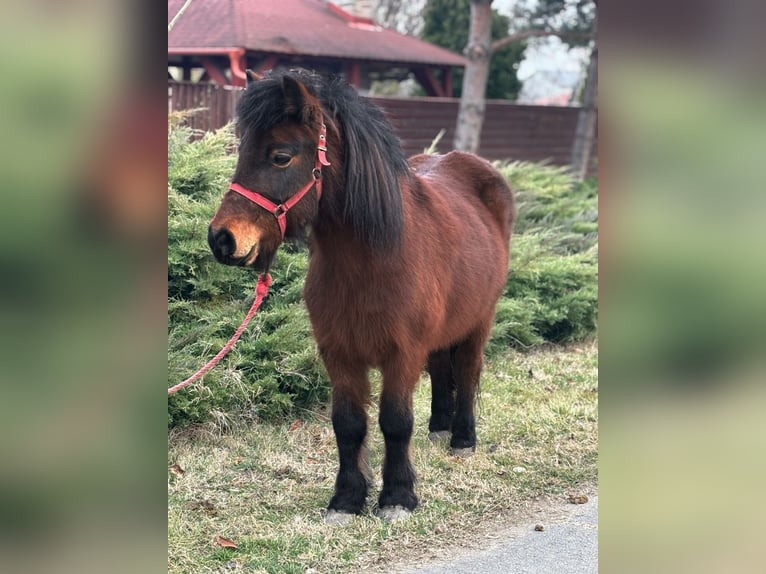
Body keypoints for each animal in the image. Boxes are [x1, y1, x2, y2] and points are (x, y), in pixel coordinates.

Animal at [208, 68, 516, 528]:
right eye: (243, 151)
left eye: (281, 156)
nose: (222, 239)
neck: (372, 261)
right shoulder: (339, 352)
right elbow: (348, 424)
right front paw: (347, 499)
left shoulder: (402, 354)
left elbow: (396, 422)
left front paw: (397, 497)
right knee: (442, 368)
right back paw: (440, 427)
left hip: (481, 319)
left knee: (467, 370)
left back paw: (462, 438)